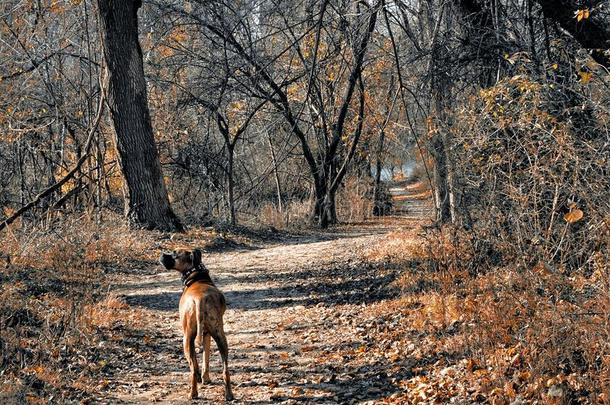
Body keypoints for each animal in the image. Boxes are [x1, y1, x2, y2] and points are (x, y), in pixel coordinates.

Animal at [159, 248, 233, 400]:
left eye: (174, 253)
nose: (162, 254)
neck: (197, 277)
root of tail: (200, 299)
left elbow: (197, 362)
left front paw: (201, 378)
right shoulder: (206, 335)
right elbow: (206, 357)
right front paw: (206, 378)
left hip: (186, 340)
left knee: (192, 368)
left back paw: (193, 393)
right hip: (220, 336)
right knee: (225, 369)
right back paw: (229, 394)